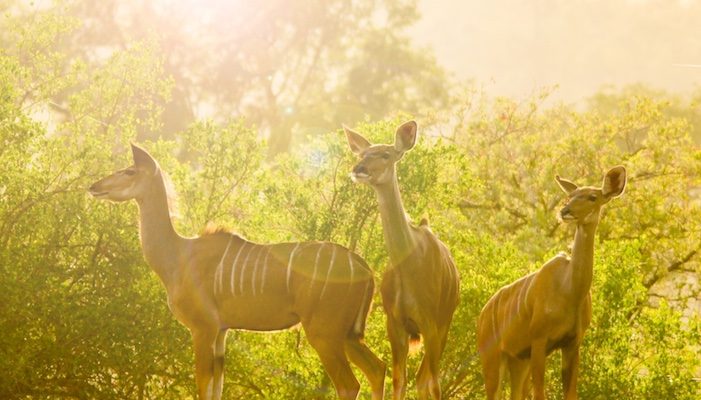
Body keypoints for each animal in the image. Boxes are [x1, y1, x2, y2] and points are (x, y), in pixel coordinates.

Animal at [88, 144, 386, 400]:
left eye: (129, 171)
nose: (94, 186)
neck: (178, 255)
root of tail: (364, 267)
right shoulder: (222, 332)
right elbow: (216, 388)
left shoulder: (203, 328)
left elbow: (203, 386)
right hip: (348, 334)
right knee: (377, 369)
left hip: (324, 334)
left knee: (349, 383)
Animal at [344, 120, 460, 398]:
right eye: (363, 154)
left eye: (386, 154)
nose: (359, 169)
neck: (410, 266)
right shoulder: (395, 322)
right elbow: (399, 379)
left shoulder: (430, 320)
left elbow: (434, 383)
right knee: (420, 376)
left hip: (445, 320)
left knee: (429, 378)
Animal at [478, 166, 628, 400]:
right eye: (570, 195)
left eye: (592, 197)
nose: (565, 210)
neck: (570, 290)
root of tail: (483, 314)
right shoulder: (540, 340)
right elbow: (540, 393)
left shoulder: (572, 343)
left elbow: (571, 393)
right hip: (493, 357)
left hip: (518, 359)